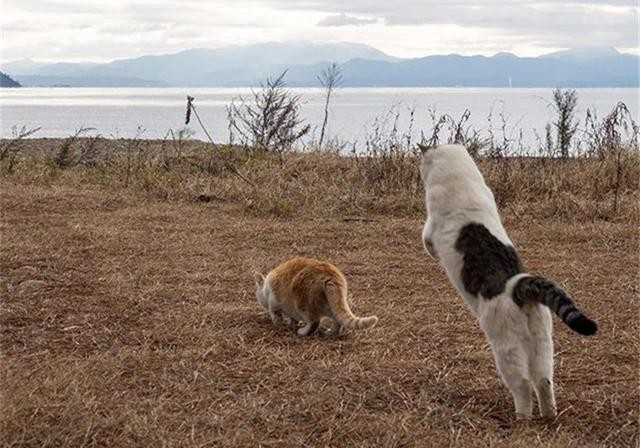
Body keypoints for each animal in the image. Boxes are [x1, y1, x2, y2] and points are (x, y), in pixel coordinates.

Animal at [418, 144, 596, 420]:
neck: (460, 177)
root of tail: (520, 284)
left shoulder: (431, 226)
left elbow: (426, 239)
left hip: (507, 345)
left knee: (522, 384)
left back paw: (522, 417)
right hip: (542, 340)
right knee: (544, 380)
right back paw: (549, 415)